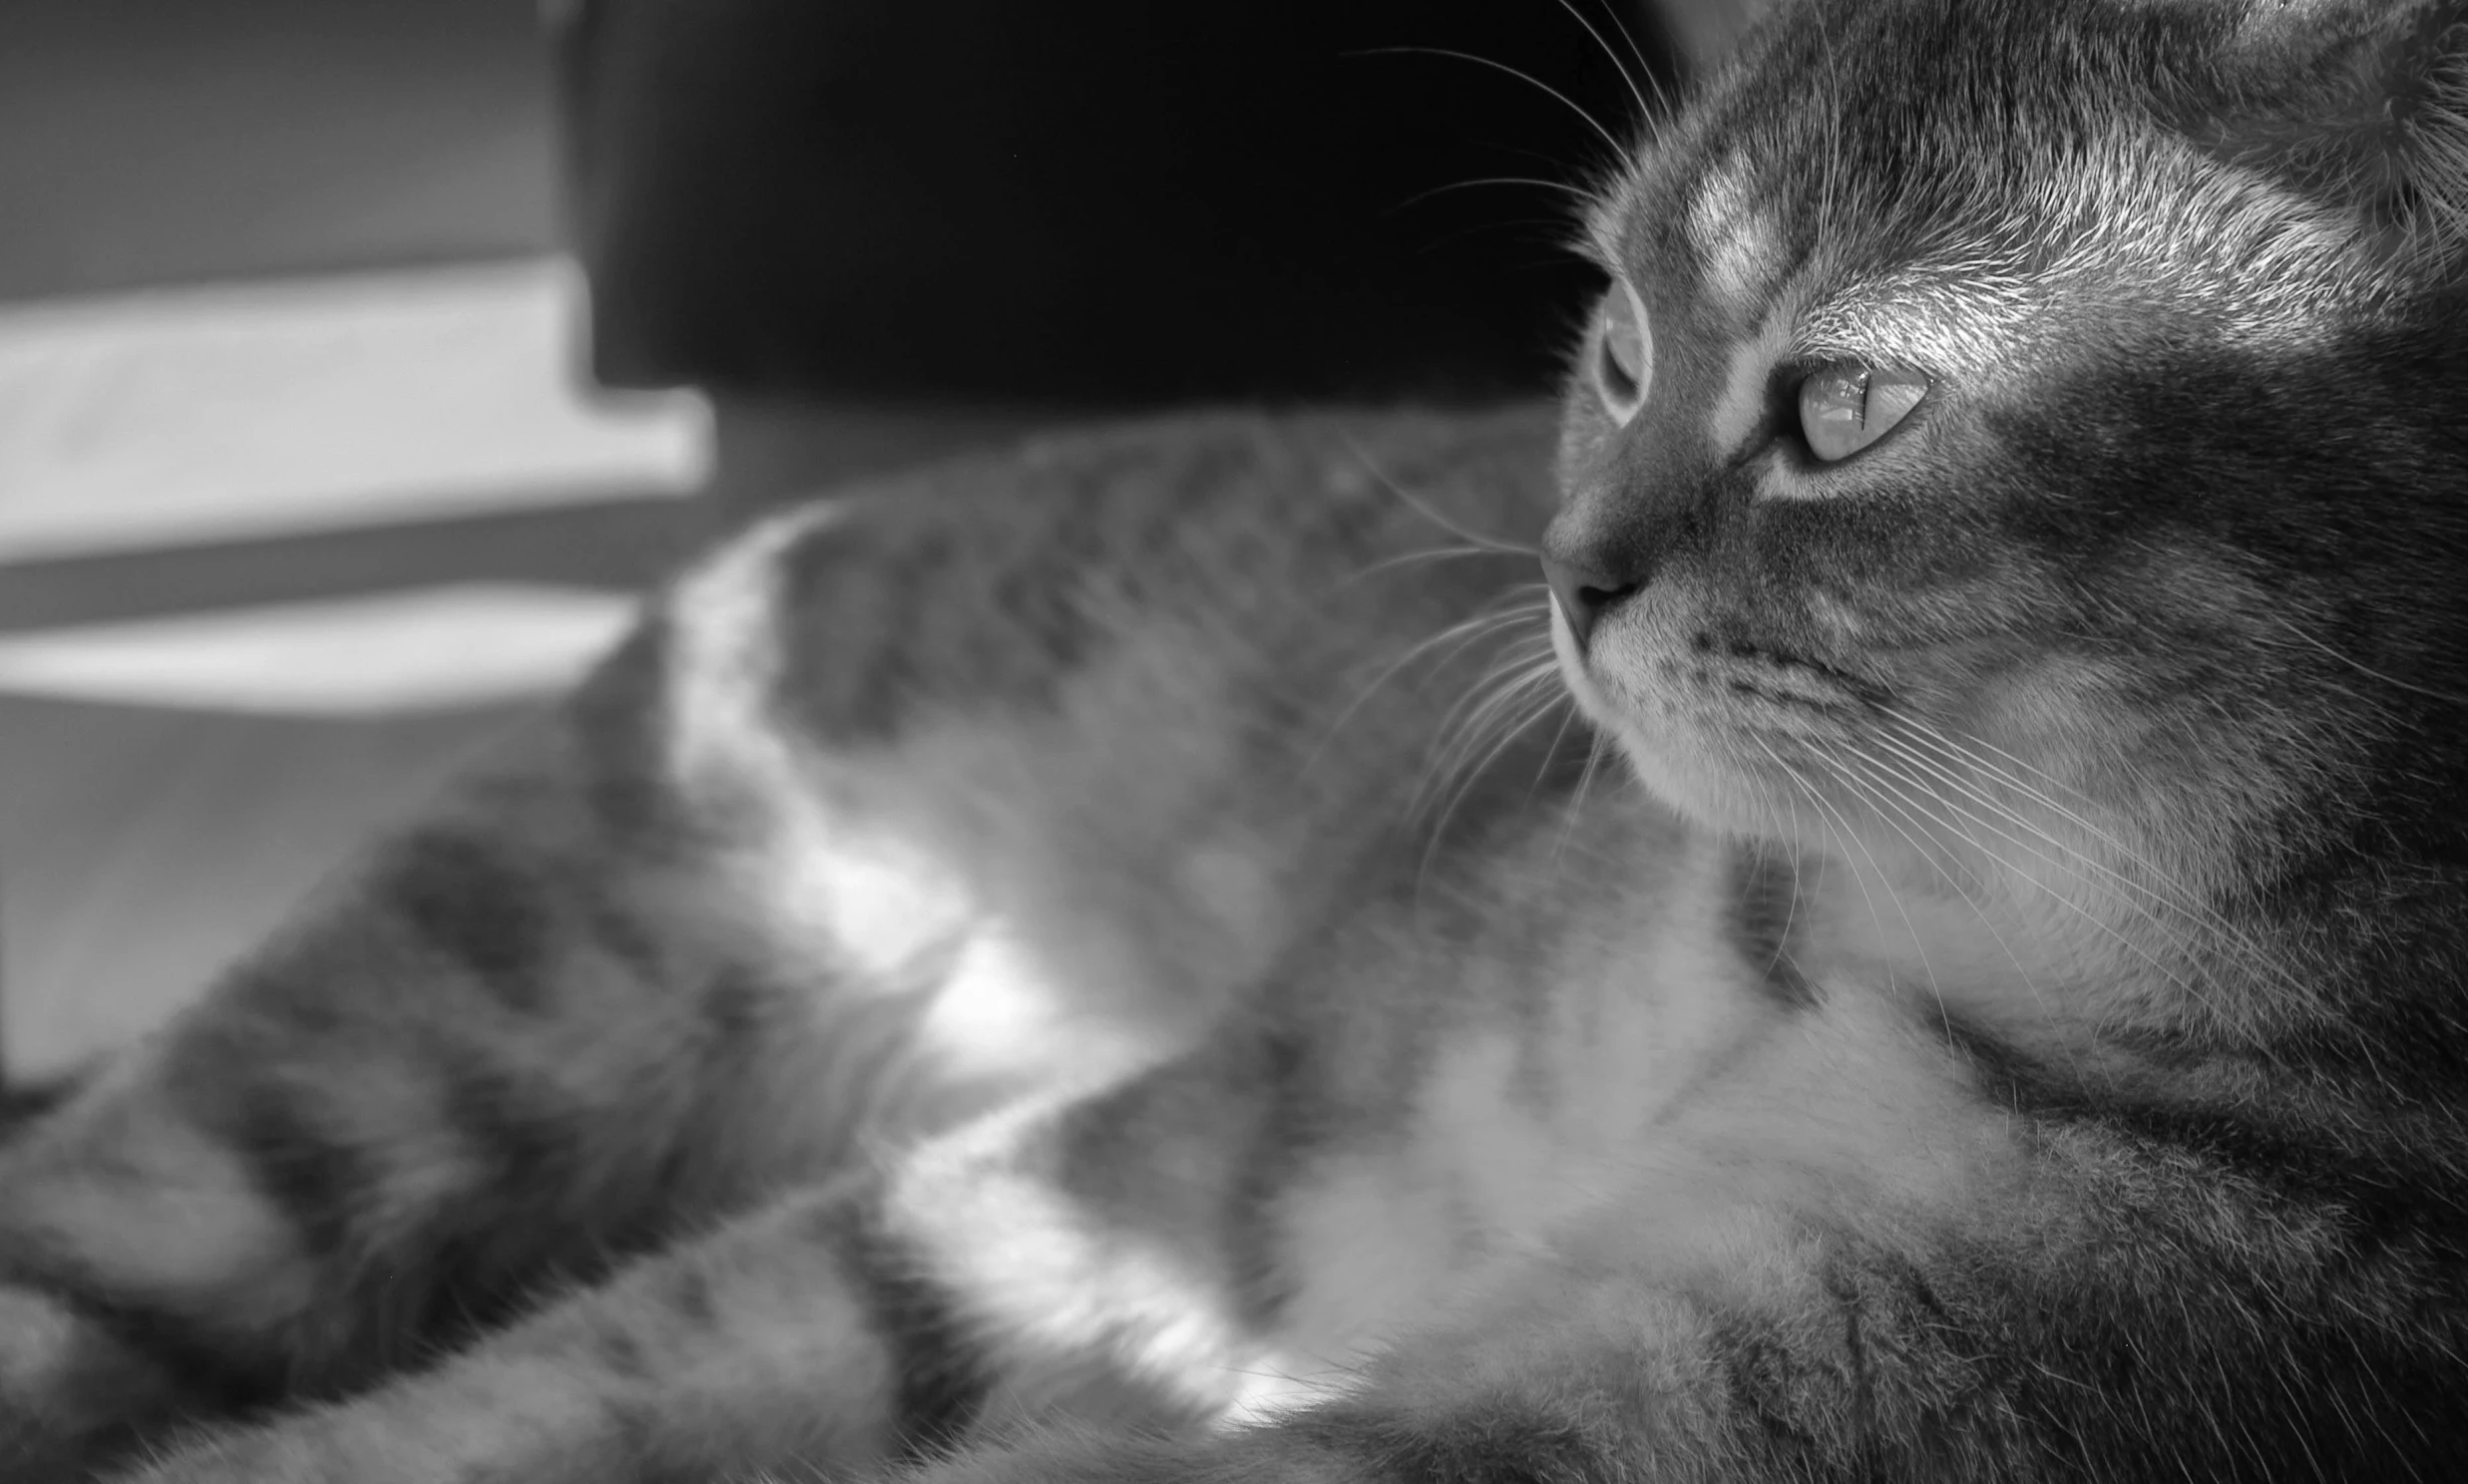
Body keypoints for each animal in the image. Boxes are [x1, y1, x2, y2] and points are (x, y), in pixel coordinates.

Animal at [4, 0, 2468, 1471]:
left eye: (1845, 407)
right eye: (1616, 340)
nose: (1563, 575)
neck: (1828, 950)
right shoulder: (1213, 1162)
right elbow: (583, 1377)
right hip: (414, 1053)